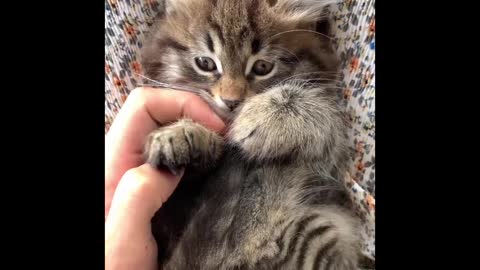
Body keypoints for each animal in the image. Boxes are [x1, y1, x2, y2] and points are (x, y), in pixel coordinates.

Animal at [139, 0, 360, 268]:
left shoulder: (329, 167)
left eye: (263, 67)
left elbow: (326, 121)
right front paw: (183, 134)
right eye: (205, 63)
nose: (231, 102)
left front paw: (265, 115)